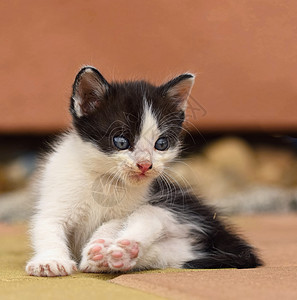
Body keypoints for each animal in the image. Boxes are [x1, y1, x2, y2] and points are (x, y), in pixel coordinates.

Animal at [25, 65, 262, 276]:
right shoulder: (56, 197)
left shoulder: (130, 207)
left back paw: (120, 251)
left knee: (150, 217)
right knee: (168, 252)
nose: (145, 164)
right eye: (120, 141)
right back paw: (123, 254)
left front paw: (99, 247)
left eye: (161, 144)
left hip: (173, 205)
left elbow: (112, 225)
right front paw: (51, 261)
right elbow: (47, 227)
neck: (105, 180)